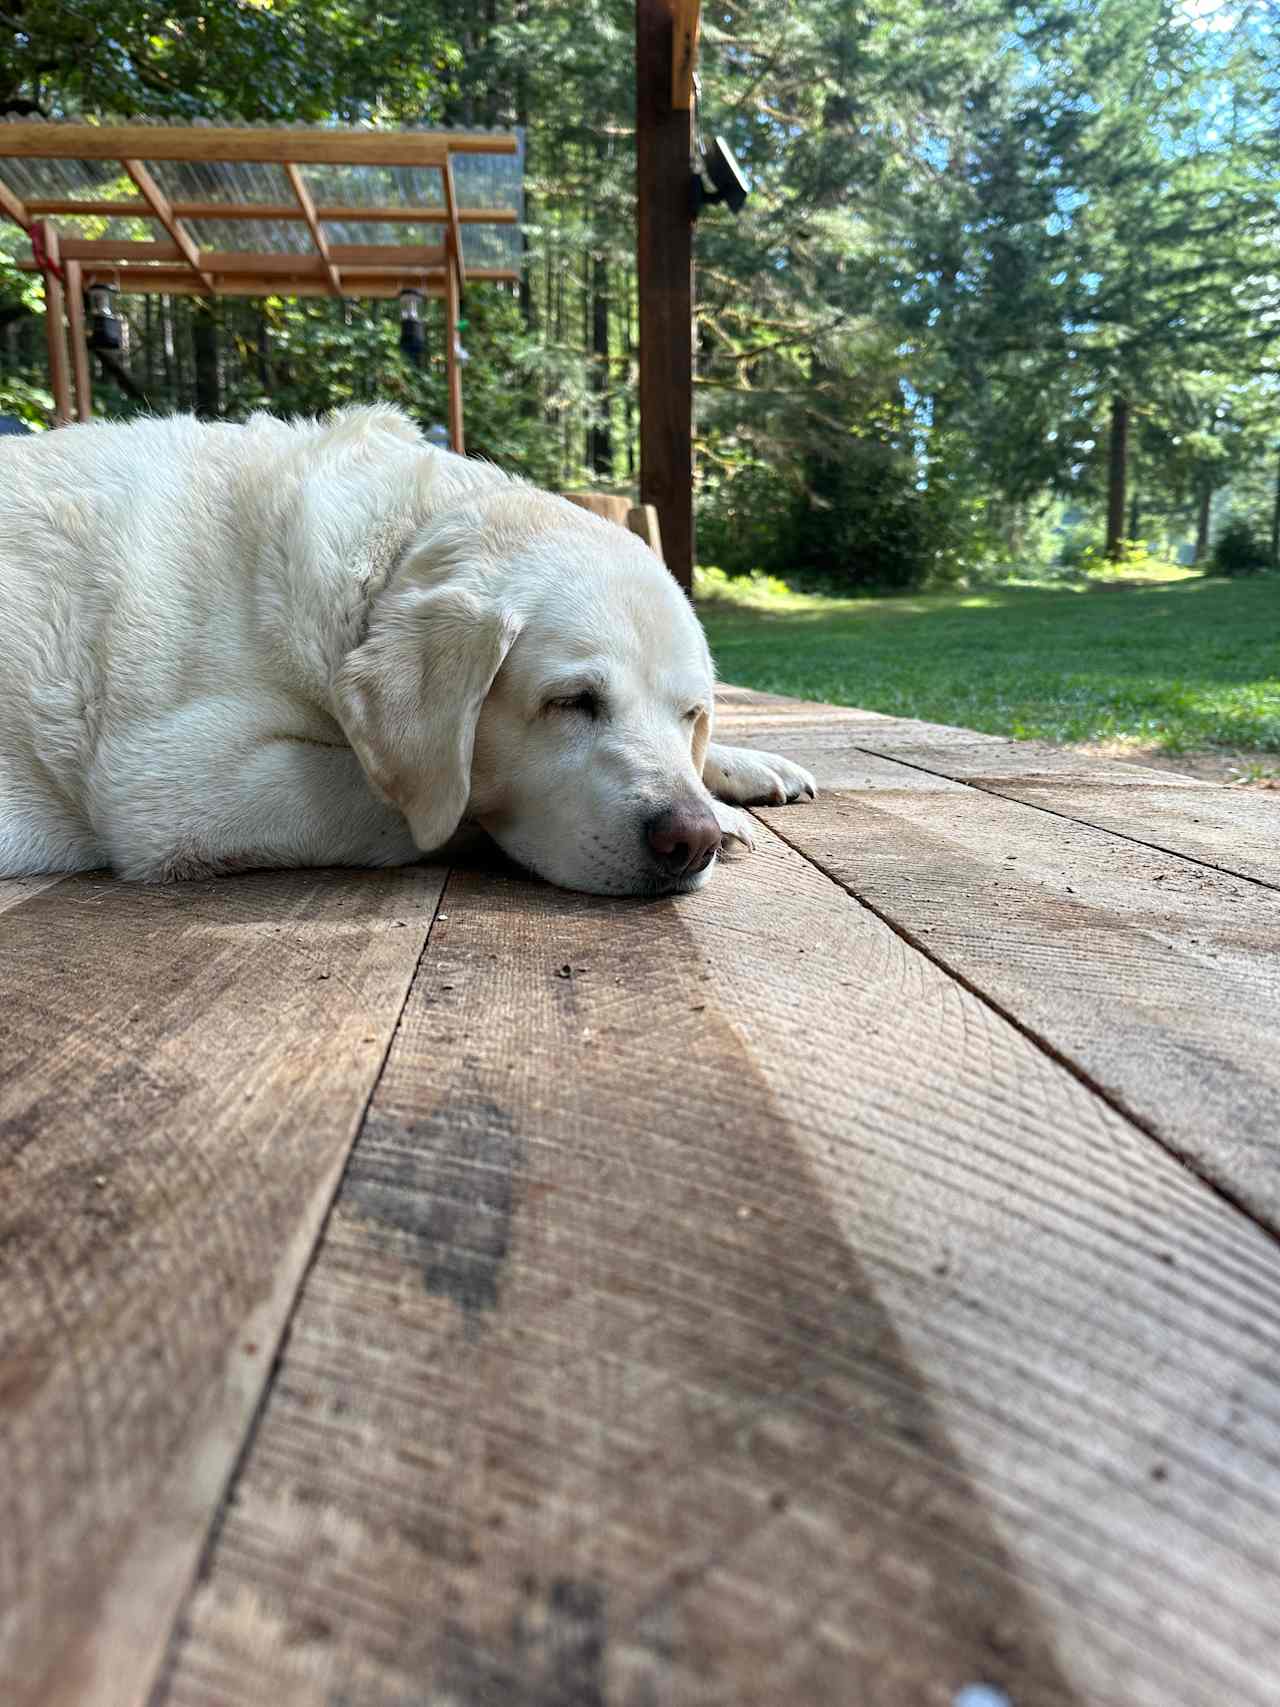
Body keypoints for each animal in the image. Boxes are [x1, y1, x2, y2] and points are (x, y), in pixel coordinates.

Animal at [0, 407, 815, 901]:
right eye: (571, 702)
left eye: (691, 715)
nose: (691, 840)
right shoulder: (175, 782)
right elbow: (435, 802)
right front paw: (724, 811)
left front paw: (741, 766)